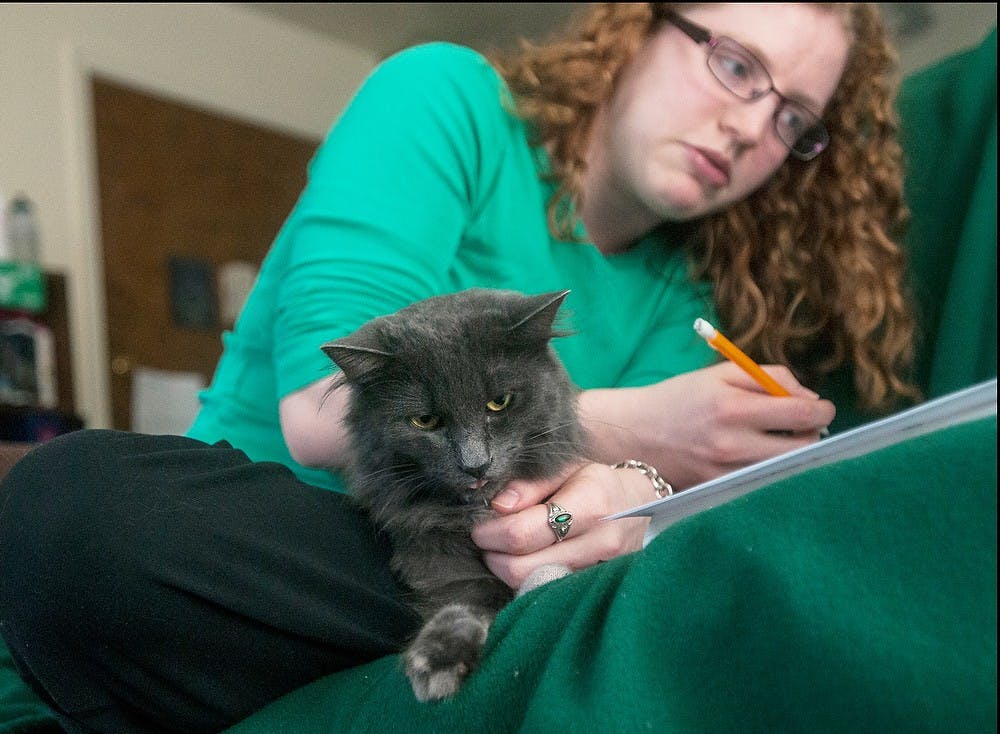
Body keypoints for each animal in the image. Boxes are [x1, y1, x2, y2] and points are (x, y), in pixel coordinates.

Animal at [320, 288, 584, 700]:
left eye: (499, 403)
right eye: (425, 421)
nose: (476, 465)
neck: (476, 515)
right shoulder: (441, 568)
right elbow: (463, 602)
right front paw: (439, 660)